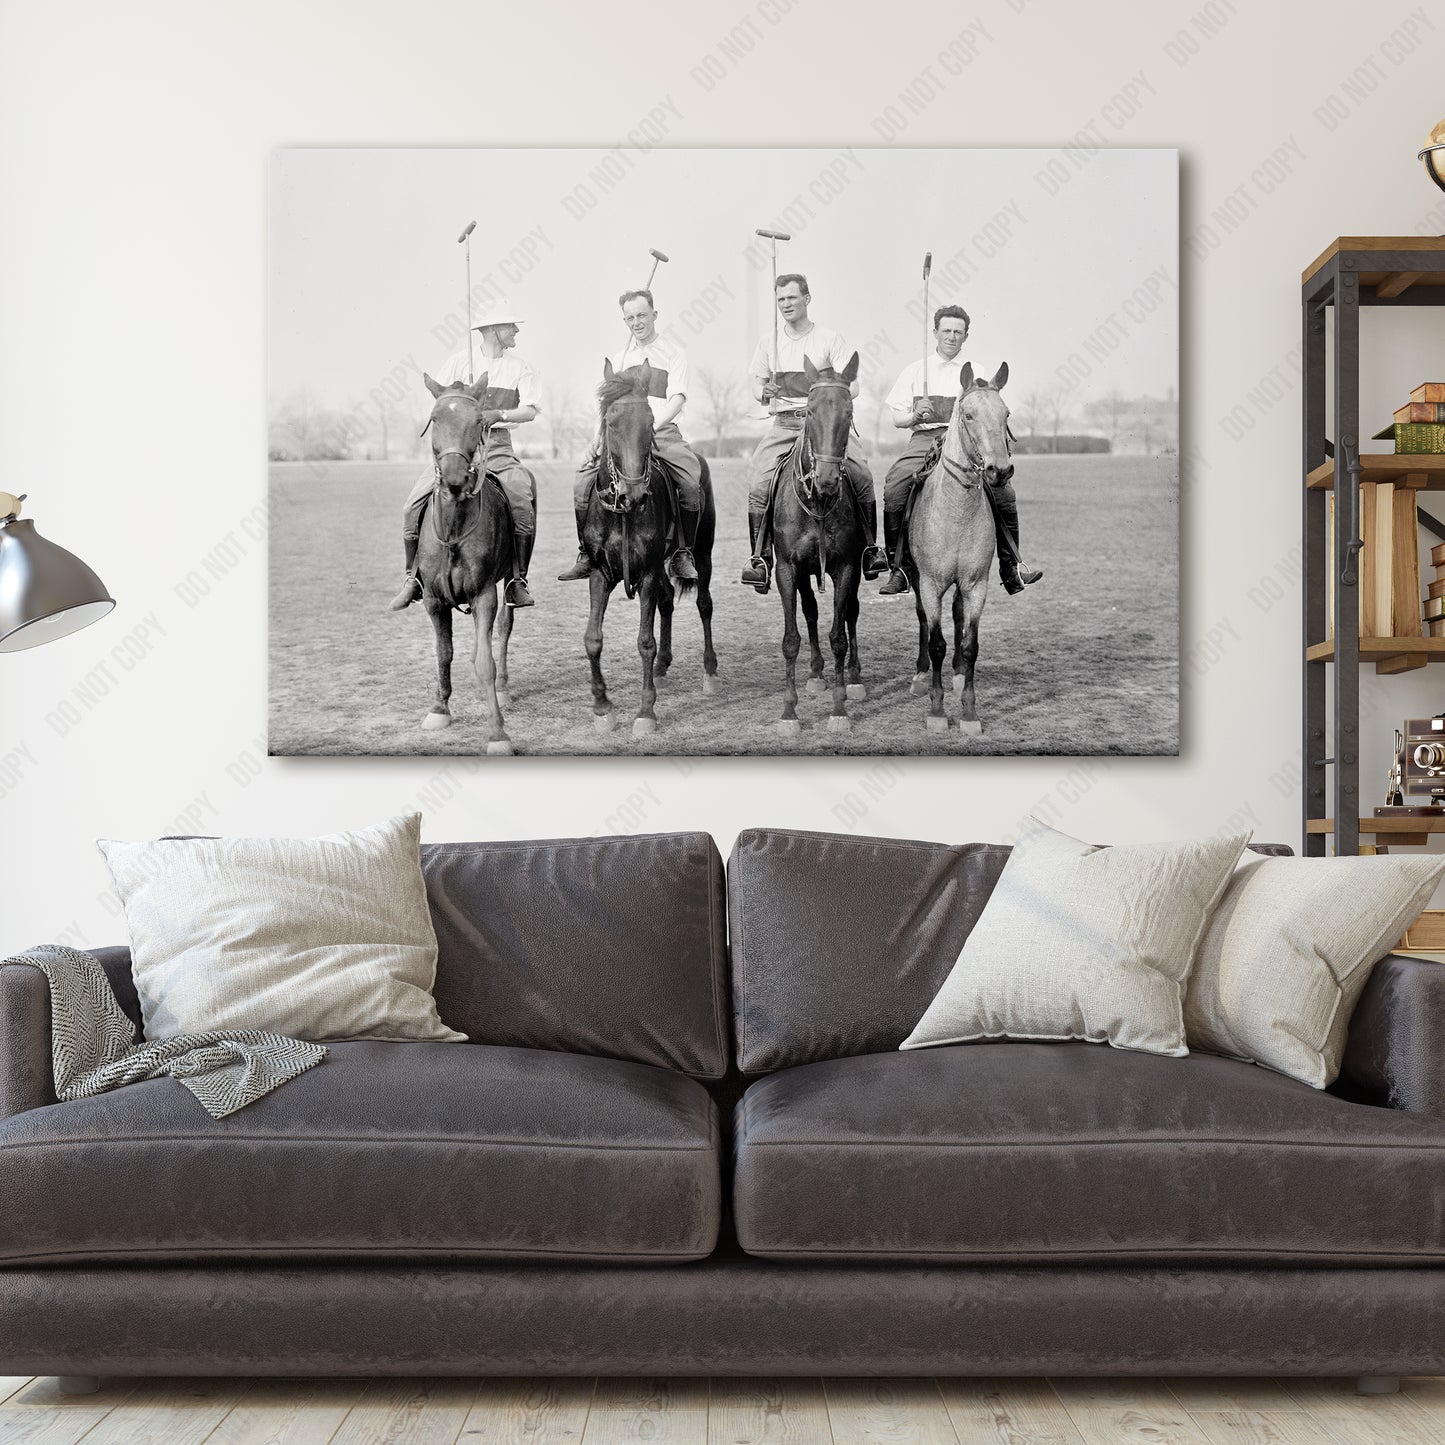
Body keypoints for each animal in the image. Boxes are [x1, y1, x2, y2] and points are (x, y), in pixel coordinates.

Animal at [416, 372, 517, 757]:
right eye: (435, 418)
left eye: (477, 421)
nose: (455, 480)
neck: (454, 527)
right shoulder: (432, 600)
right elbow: (444, 653)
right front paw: (438, 709)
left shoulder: (485, 594)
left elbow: (486, 661)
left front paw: (497, 732)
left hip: (510, 583)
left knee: (503, 627)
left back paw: (502, 687)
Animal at [580, 356, 716, 739]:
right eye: (611, 422)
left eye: (650, 422)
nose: (634, 494)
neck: (621, 514)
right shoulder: (600, 573)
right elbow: (593, 638)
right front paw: (602, 707)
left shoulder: (648, 573)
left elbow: (645, 642)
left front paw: (645, 712)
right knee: (668, 602)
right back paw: (663, 668)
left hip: (703, 554)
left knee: (704, 605)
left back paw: (709, 672)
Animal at [768, 349, 867, 734]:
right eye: (809, 410)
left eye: (849, 411)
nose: (825, 480)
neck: (818, 504)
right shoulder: (786, 569)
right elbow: (791, 638)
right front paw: (788, 711)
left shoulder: (846, 568)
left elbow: (839, 635)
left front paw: (839, 709)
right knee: (809, 610)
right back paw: (814, 673)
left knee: (851, 613)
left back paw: (854, 678)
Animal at [901, 367, 1017, 734]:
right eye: (968, 415)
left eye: (1006, 414)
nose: (999, 471)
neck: (957, 510)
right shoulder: (930, 583)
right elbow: (936, 641)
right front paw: (937, 711)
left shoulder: (976, 584)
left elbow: (970, 644)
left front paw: (968, 712)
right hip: (917, 578)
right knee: (924, 619)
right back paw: (921, 674)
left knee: (957, 615)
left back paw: (956, 673)